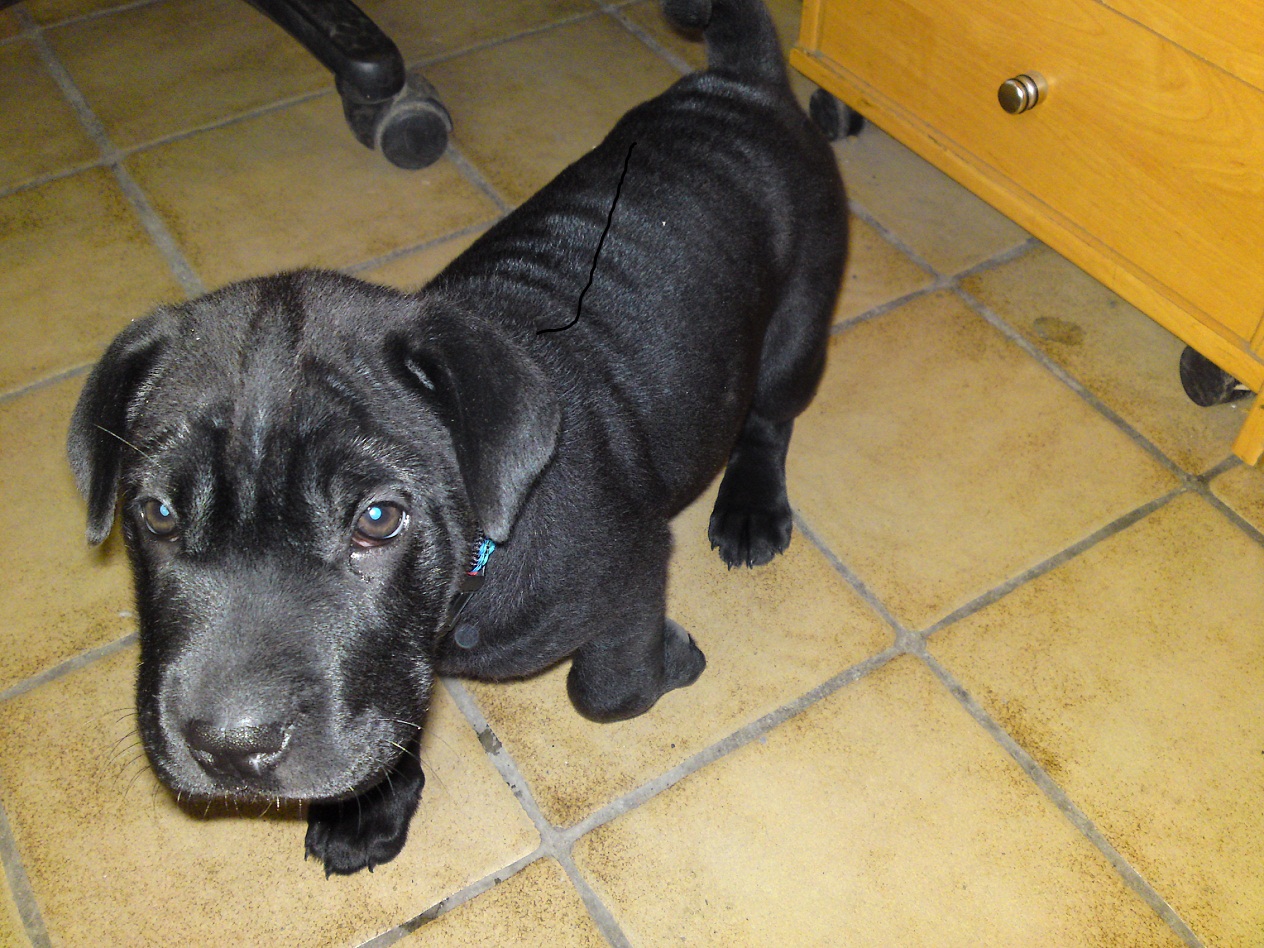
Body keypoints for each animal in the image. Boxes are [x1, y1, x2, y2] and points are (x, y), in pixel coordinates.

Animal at [66, 0, 839, 874]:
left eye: (378, 519)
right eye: (157, 514)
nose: (231, 747)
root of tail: (738, 84)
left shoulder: (635, 569)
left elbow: (606, 690)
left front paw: (669, 659)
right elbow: (390, 713)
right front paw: (369, 806)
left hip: (798, 329)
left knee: (769, 420)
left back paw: (750, 509)